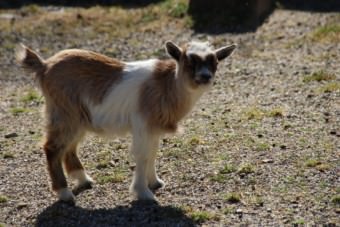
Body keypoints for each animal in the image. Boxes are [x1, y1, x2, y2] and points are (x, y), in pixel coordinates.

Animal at [15, 40, 236, 204]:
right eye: (189, 61)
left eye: (215, 62)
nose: (205, 77)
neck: (166, 85)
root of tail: (44, 65)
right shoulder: (143, 125)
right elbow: (142, 155)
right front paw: (143, 193)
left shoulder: (153, 128)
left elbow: (153, 153)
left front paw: (155, 182)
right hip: (64, 113)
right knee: (52, 148)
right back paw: (64, 193)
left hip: (78, 117)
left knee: (69, 147)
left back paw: (83, 179)